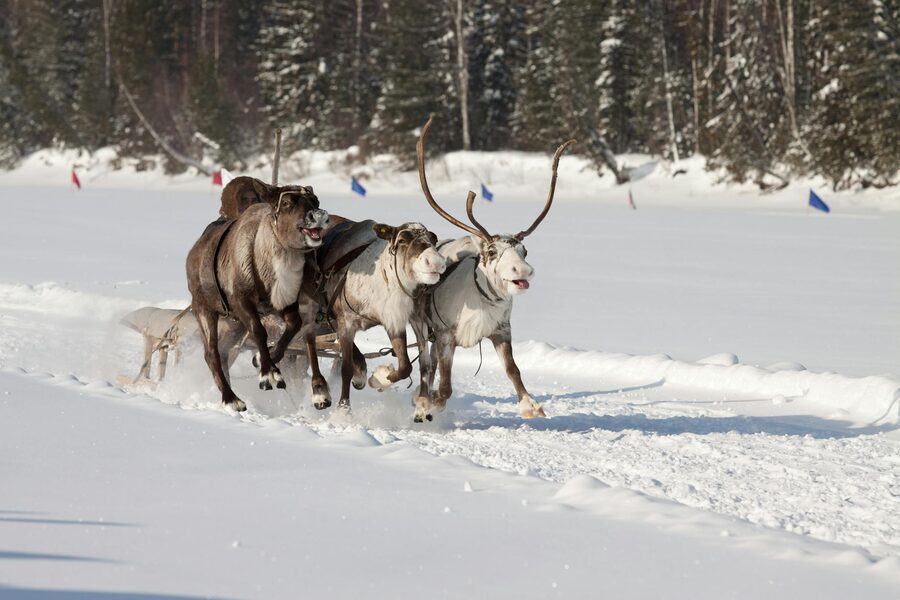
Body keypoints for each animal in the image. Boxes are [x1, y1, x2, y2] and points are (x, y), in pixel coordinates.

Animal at [185, 181, 330, 411]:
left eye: (315, 200)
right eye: (287, 203)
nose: (319, 215)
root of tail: (194, 252)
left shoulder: (283, 303)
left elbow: (294, 327)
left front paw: (264, 360)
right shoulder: (242, 301)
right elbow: (259, 331)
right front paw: (268, 374)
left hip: (234, 322)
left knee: (225, 351)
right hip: (204, 309)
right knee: (211, 354)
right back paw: (232, 399)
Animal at [305, 216, 447, 417]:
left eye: (433, 239)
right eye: (402, 240)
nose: (436, 262)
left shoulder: (402, 319)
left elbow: (412, 366)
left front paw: (380, 378)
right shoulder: (347, 321)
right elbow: (345, 368)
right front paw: (343, 411)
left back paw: (360, 375)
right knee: (309, 340)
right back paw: (320, 393)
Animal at [410, 116, 575, 421]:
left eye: (524, 251)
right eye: (491, 251)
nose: (523, 271)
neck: (480, 300)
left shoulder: (501, 330)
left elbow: (513, 369)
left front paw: (530, 405)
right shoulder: (446, 334)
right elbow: (445, 387)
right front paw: (431, 403)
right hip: (422, 327)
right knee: (426, 366)